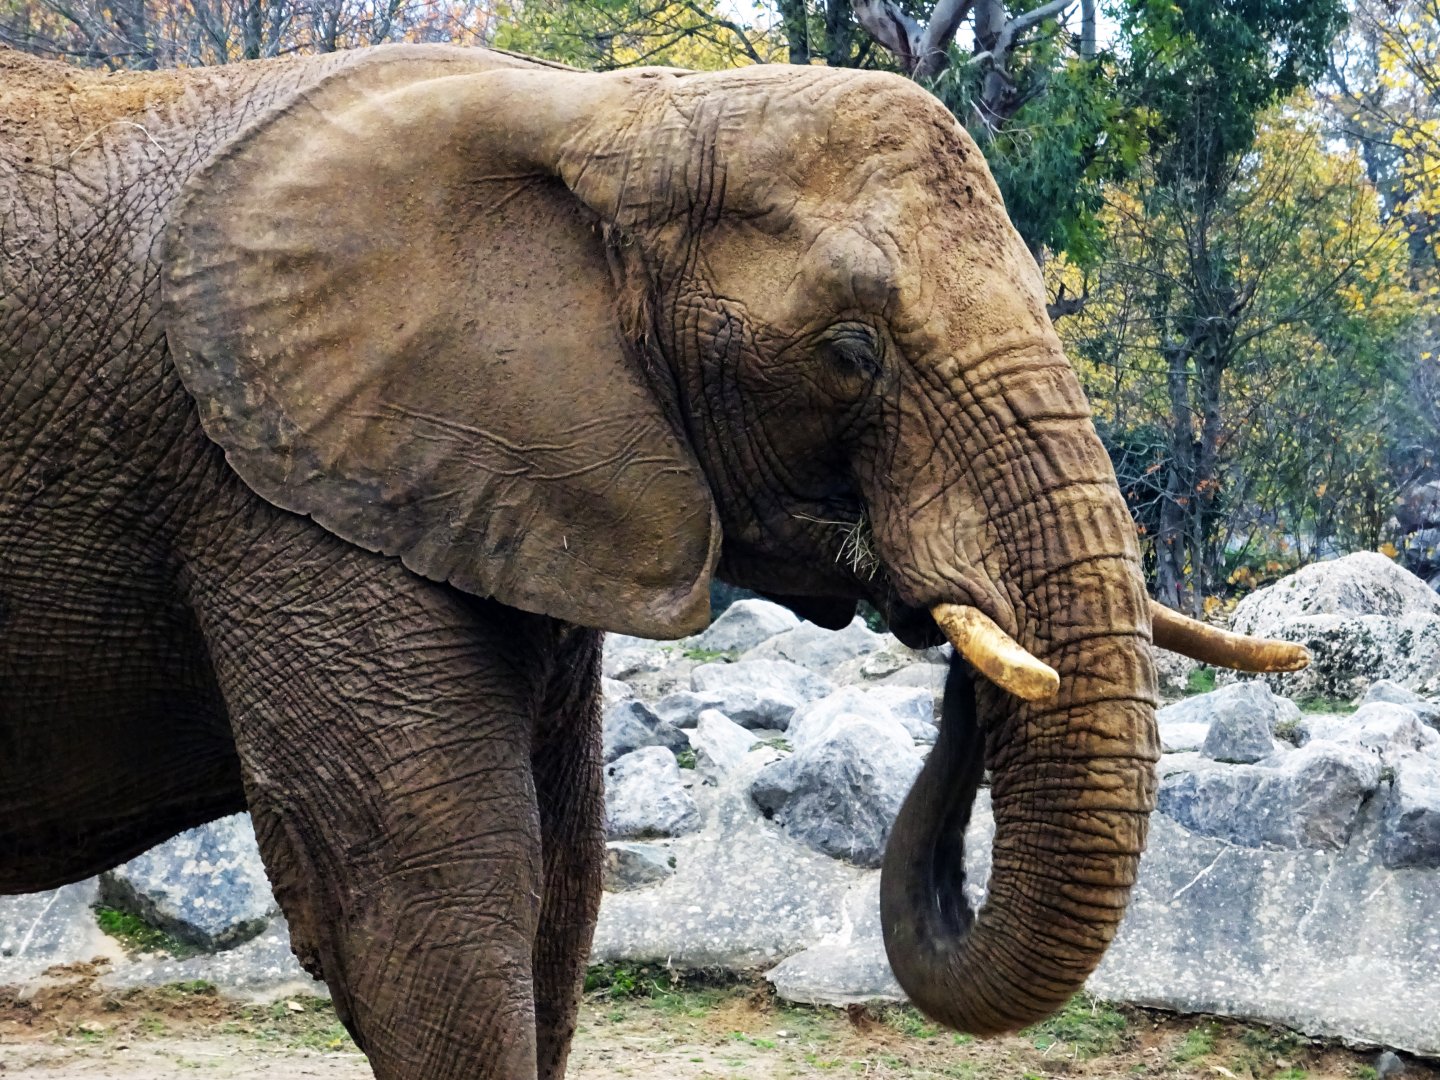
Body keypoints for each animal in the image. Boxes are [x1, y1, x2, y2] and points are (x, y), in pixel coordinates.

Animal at [0, 41, 1306, 1080]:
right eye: (849, 352)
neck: (609, 118)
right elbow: (430, 894)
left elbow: (563, 890)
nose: (951, 627)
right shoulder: (279, 487)